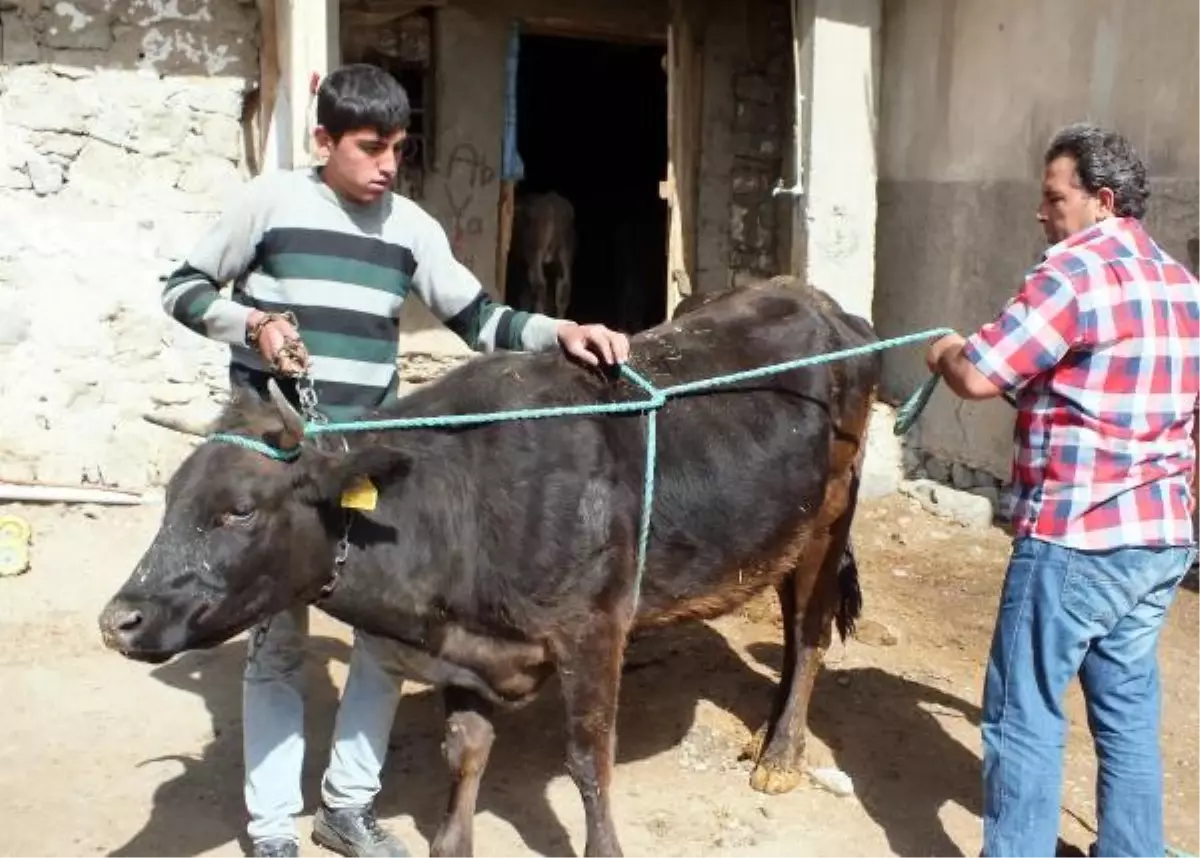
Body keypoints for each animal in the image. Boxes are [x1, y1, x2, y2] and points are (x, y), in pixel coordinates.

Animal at [100, 280, 883, 858]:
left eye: (239, 511)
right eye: (170, 499)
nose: (118, 621)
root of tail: (814, 297)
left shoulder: (593, 630)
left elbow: (588, 760)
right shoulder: (464, 649)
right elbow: (465, 751)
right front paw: (452, 841)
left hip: (831, 513)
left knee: (809, 632)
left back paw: (780, 755)